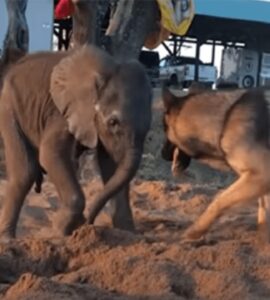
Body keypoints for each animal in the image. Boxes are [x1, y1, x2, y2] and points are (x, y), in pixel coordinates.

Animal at [0, 45, 152, 241]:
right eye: (113, 122)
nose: (88, 223)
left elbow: (112, 165)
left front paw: (128, 234)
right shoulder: (62, 111)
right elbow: (49, 154)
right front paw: (59, 230)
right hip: (9, 107)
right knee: (25, 173)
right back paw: (8, 239)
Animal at [161, 85, 270, 243]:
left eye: (164, 129)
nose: (162, 154)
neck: (224, 121)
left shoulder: (262, 175)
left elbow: (219, 201)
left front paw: (195, 231)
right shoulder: (260, 180)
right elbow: (264, 213)